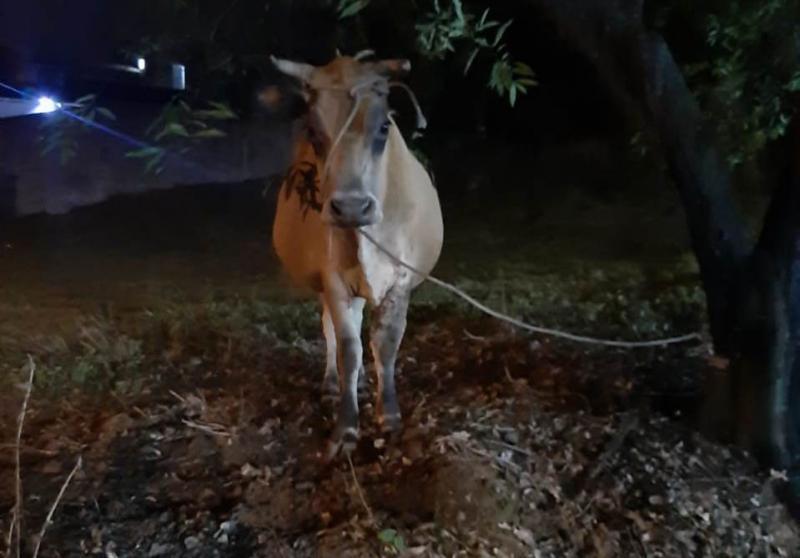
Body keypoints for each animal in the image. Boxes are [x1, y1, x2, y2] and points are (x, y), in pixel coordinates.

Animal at [270, 52, 443, 459]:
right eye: (313, 132)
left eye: (383, 127)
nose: (350, 207)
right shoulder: (334, 281)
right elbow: (348, 347)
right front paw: (346, 427)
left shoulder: (401, 281)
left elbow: (386, 343)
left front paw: (389, 415)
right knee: (330, 331)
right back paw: (335, 384)